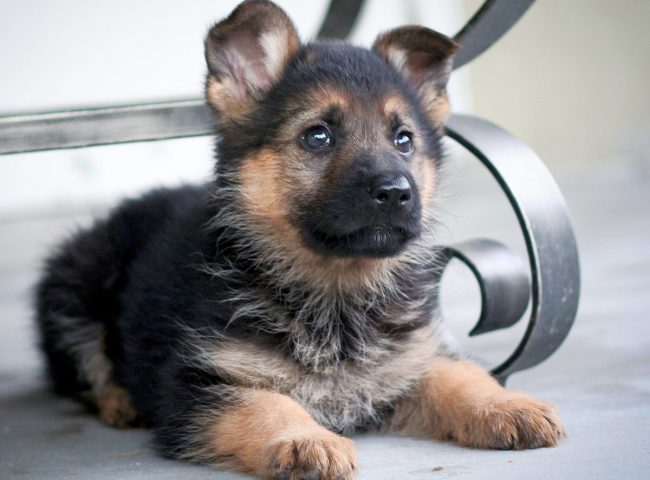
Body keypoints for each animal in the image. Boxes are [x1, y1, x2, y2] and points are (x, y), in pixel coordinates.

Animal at [34, 1, 560, 478]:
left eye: (404, 140)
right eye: (318, 136)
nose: (396, 192)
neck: (336, 295)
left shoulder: (407, 361)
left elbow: (460, 374)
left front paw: (506, 405)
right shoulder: (198, 385)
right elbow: (265, 403)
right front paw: (304, 439)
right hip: (76, 286)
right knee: (82, 367)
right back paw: (120, 400)